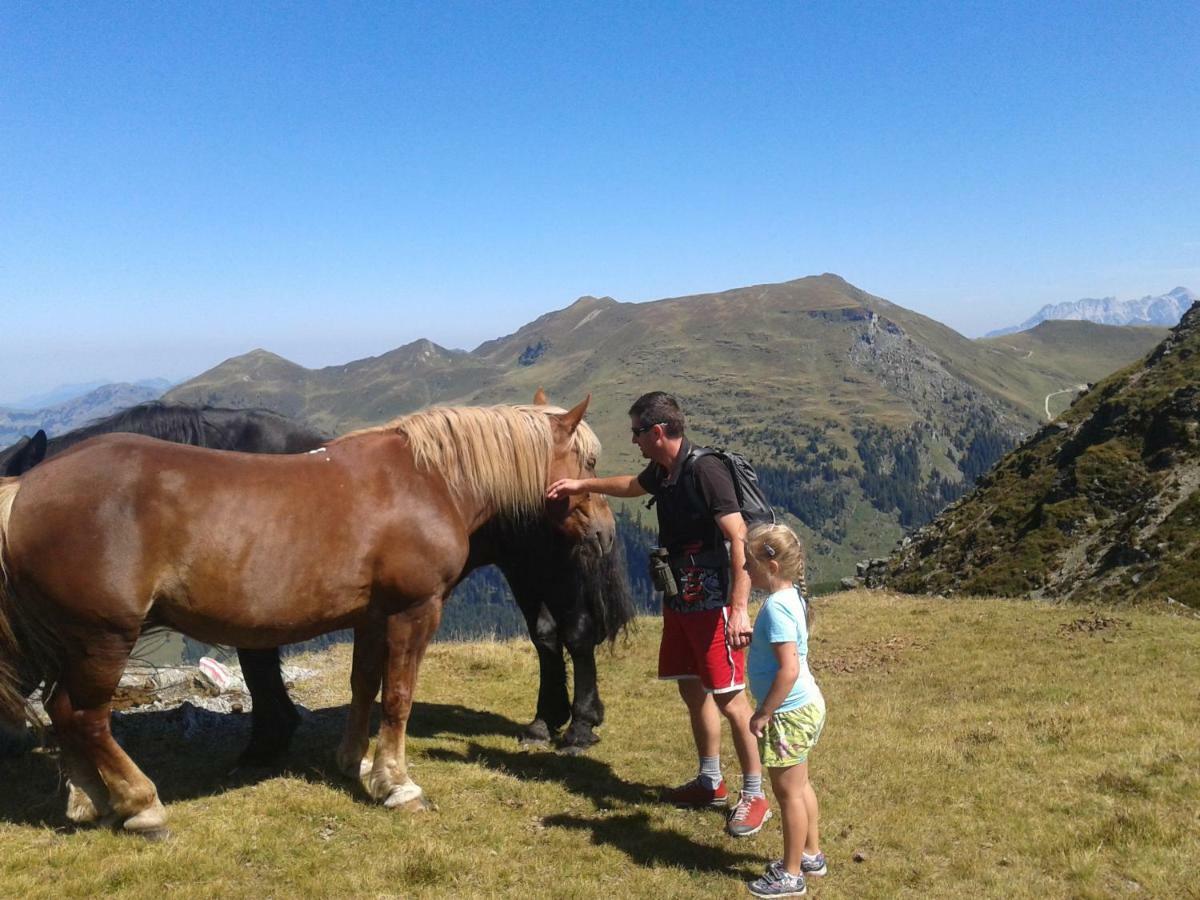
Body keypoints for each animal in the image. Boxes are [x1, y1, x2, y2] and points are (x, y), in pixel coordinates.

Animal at [0, 400, 600, 840]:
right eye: (590, 463)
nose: (598, 532)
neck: (427, 481)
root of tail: (28, 487)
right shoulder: (414, 610)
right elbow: (398, 695)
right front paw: (398, 785)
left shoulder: (372, 615)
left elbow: (364, 686)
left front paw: (355, 764)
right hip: (102, 638)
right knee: (85, 717)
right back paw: (141, 805)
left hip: (74, 641)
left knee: (62, 712)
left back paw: (91, 801)